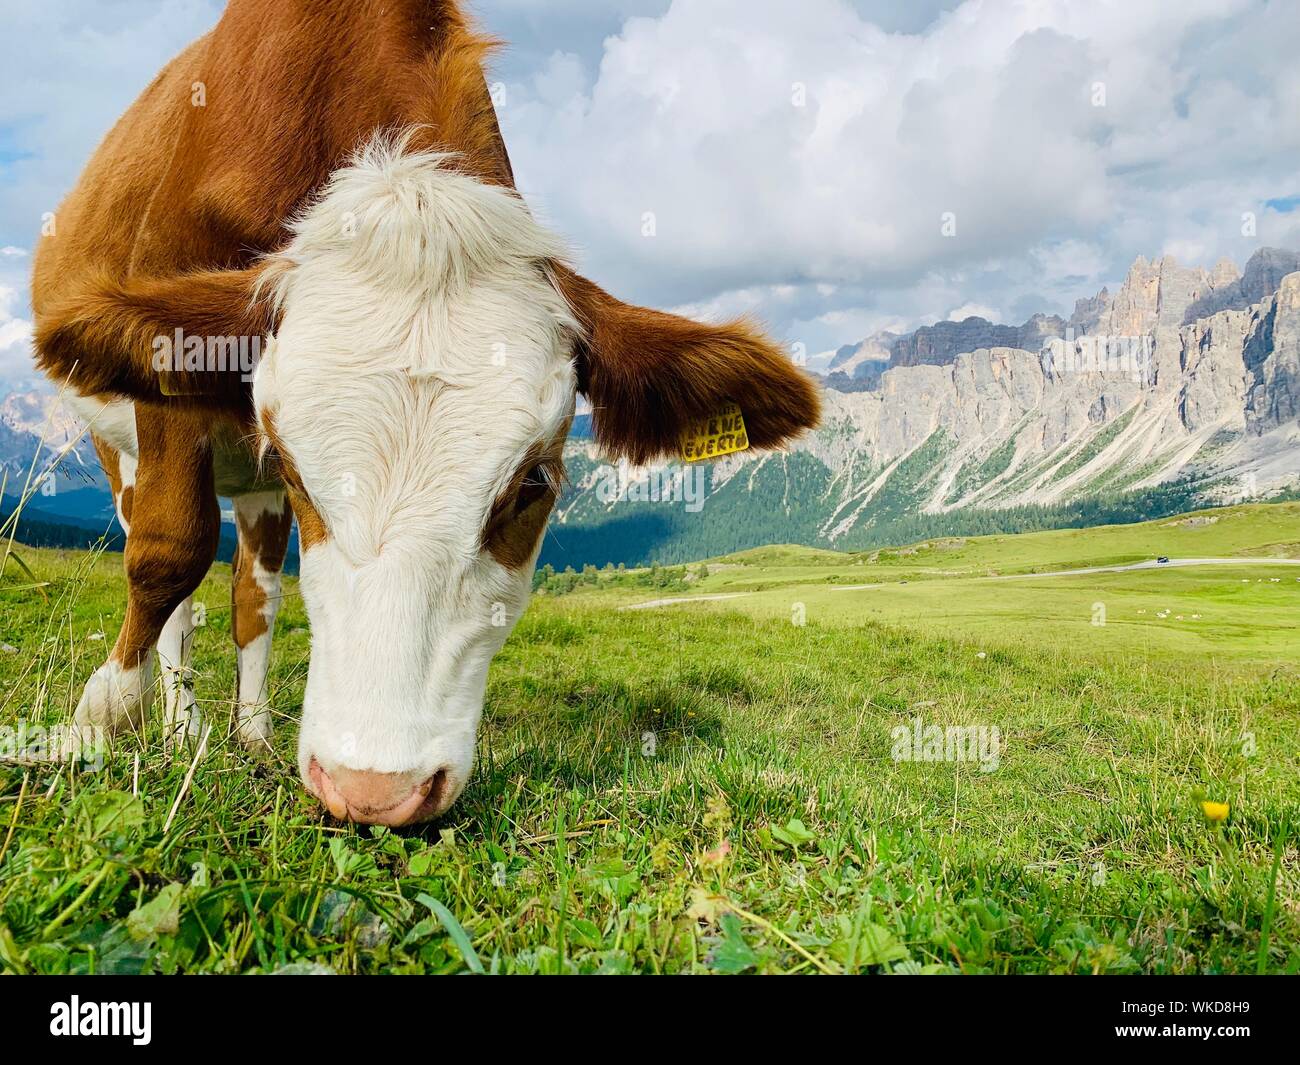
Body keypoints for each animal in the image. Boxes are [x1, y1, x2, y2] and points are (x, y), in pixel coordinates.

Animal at [30, 0, 820, 826]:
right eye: (299, 469)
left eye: (534, 482)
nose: (373, 790)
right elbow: (168, 552)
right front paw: (99, 715)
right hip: (122, 449)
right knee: (172, 577)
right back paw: (183, 726)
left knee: (255, 594)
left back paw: (248, 734)